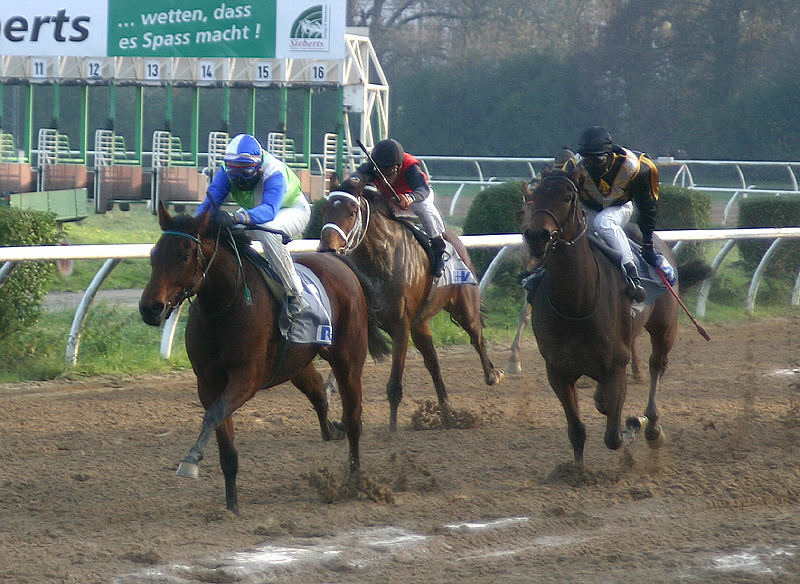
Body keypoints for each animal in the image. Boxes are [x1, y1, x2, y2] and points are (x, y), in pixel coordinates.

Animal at [141, 203, 390, 512]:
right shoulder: (208, 382)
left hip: (348, 359)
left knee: (354, 419)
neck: (226, 304)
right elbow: (223, 438)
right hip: (297, 362)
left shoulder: (247, 377)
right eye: (154, 253)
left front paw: (190, 460)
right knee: (319, 393)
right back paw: (333, 430)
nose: (149, 308)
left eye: (185, 255)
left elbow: (213, 415)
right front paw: (231, 507)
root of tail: (339, 262)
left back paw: (355, 481)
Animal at [318, 172, 500, 428]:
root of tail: (455, 240)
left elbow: (394, 386)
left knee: (477, 336)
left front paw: (392, 430)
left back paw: (492, 374)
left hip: (464, 307)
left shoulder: (400, 326)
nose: (326, 248)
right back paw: (447, 412)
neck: (381, 258)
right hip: (420, 323)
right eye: (325, 210)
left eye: (352, 212)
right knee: (433, 362)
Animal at [520, 168, 684, 460]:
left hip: (665, 327)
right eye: (534, 196)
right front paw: (576, 469)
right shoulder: (557, 370)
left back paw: (652, 425)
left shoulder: (616, 365)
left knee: (657, 364)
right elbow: (576, 431)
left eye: (567, 197)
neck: (575, 304)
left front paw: (632, 424)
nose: (537, 236)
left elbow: (614, 437)